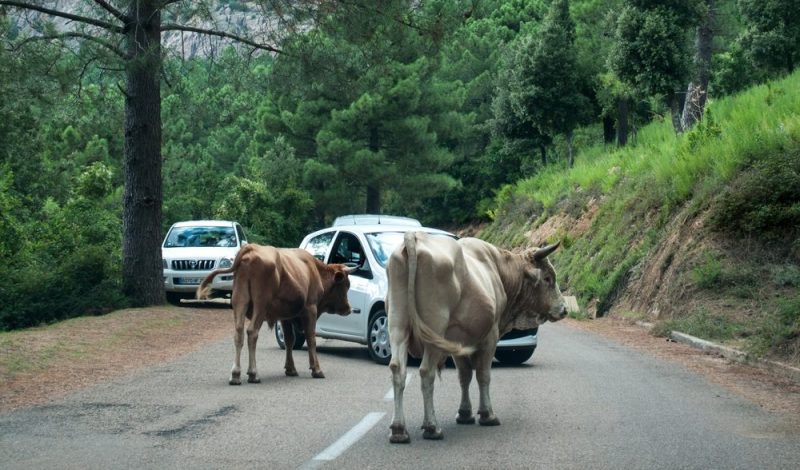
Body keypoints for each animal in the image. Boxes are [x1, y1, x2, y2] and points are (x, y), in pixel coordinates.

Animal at [197, 244, 355, 385]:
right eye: (346, 285)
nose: (349, 308)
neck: (314, 270)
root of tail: (252, 248)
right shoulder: (311, 309)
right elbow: (311, 339)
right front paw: (316, 369)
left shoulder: (286, 315)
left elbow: (289, 340)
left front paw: (290, 368)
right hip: (261, 305)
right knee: (252, 332)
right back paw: (253, 373)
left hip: (240, 301)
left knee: (239, 333)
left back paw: (235, 375)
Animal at [386, 232, 567, 443]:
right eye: (548, 278)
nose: (564, 309)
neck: (500, 271)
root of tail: (415, 237)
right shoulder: (490, 337)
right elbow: (483, 375)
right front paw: (487, 414)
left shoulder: (458, 339)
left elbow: (464, 376)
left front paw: (465, 413)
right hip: (433, 332)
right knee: (426, 373)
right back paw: (432, 427)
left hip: (397, 327)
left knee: (398, 370)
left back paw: (399, 429)